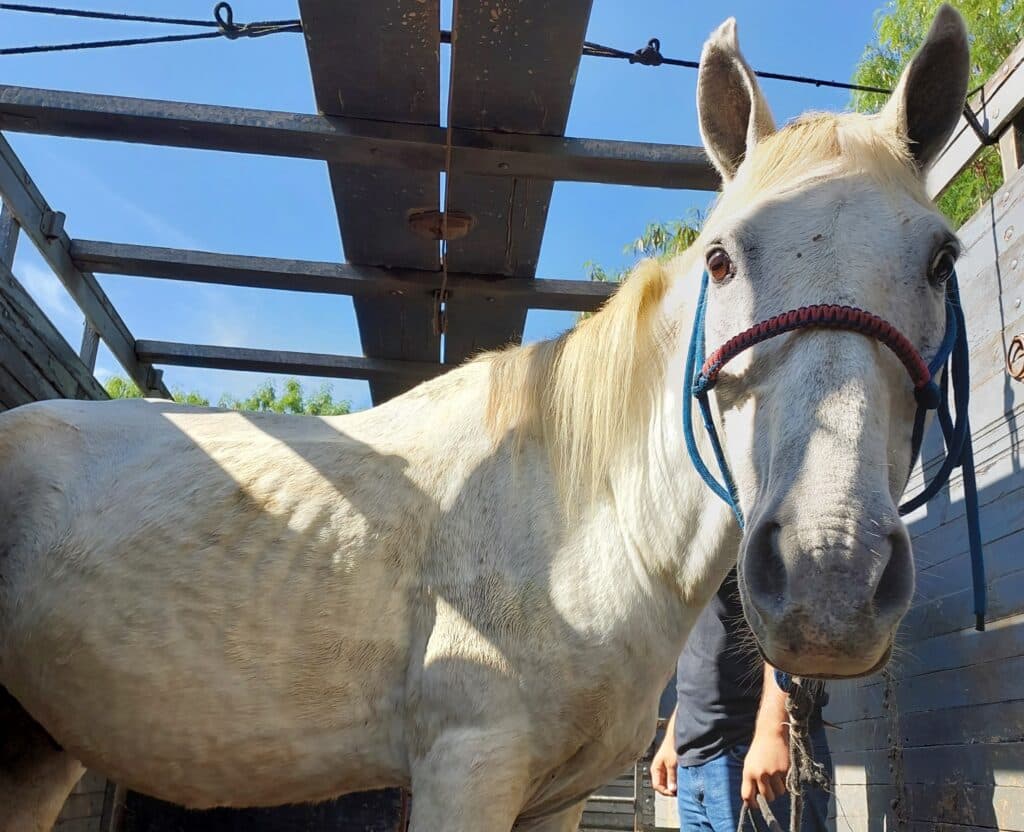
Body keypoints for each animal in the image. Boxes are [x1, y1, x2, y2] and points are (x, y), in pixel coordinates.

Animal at [0, 6, 969, 831]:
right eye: (723, 259)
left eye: (940, 257)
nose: (828, 576)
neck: (573, 523)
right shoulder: (470, 768)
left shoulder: (556, 798)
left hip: (39, 749)